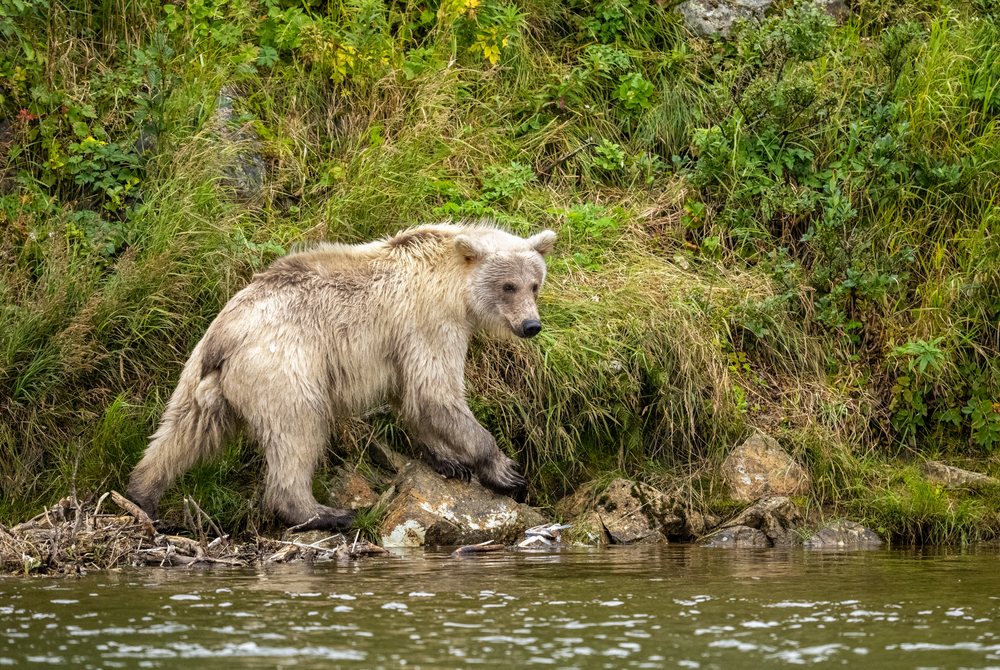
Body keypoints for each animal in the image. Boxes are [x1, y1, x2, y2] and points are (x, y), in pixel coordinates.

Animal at [126, 222, 556, 531]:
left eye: (535, 284)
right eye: (508, 286)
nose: (531, 325)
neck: (453, 286)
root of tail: (227, 332)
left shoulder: (403, 344)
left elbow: (414, 399)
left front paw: (448, 460)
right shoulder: (429, 322)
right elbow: (436, 393)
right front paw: (505, 470)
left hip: (199, 374)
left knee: (180, 433)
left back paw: (142, 495)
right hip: (285, 368)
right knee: (298, 432)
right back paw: (325, 513)